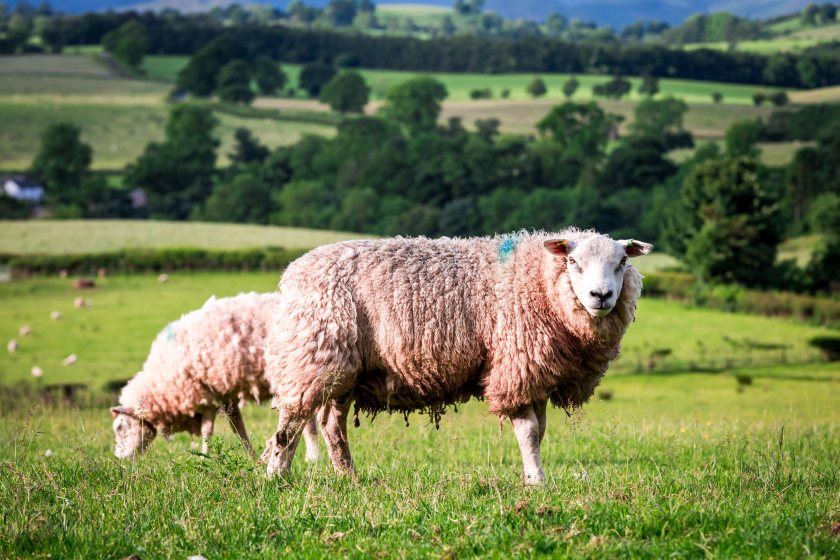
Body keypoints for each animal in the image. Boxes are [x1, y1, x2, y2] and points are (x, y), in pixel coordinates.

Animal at [111, 290, 322, 462]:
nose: (120, 459)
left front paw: (204, 457)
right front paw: (252, 457)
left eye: (120, 428)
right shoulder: (224, 394)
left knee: (309, 422)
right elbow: (238, 428)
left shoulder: (206, 394)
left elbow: (207, 430)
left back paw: (313, 458)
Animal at [260, 230, 648, 484]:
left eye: (622, 261)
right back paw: (277, 475)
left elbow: (538, 432)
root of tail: (293, 272)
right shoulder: (515, 365)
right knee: (292, 422)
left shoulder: (534, 372)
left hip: (344, 371)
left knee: (330, 425)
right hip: (312, 355)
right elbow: (528, 431)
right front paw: (536, 481)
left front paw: (532, 476)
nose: (601, 295)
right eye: (572, 261)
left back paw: (348, 477)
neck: (538, 280)